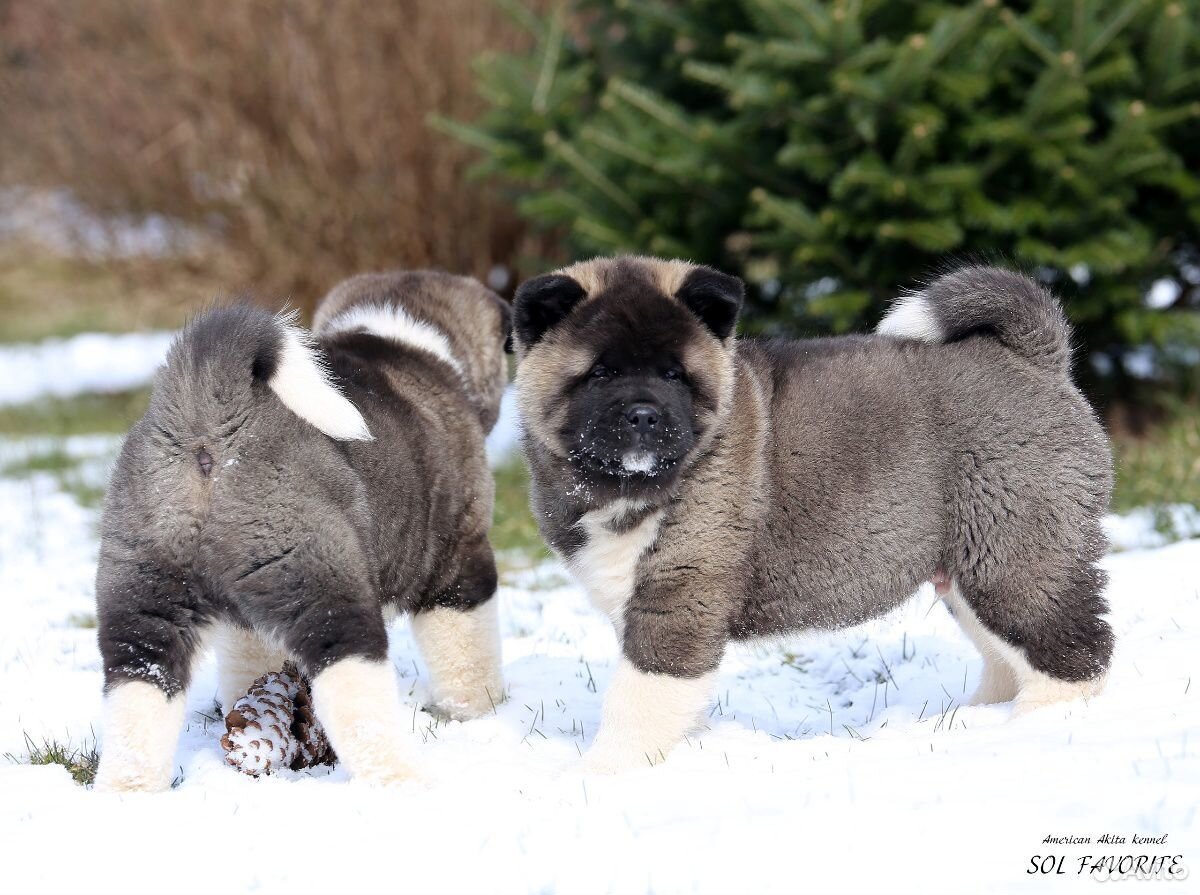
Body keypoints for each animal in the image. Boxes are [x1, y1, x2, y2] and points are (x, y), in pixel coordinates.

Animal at [92, 269, 506, 787]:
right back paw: (400, 779)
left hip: (144, 592)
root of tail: (211, 417)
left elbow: (250, 661)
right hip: (321, 580)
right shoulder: (458, 559)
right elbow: (469, 648)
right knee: (354, 687)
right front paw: (479, 713)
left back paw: (126, 791)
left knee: (138, 690)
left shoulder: (245, 620)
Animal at [513, 254, 1113, 772]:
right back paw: (977, 719)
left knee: (1073, 651)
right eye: (600, 373)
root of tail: (1036, 360)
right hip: (967, 567)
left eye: (674, 375)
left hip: (1013, 551)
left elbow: (638, 697)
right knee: (1008, 655)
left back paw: (1036, 728)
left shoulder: (680, 592)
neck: (624, 487)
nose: (643, 415)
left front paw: (604, 772)